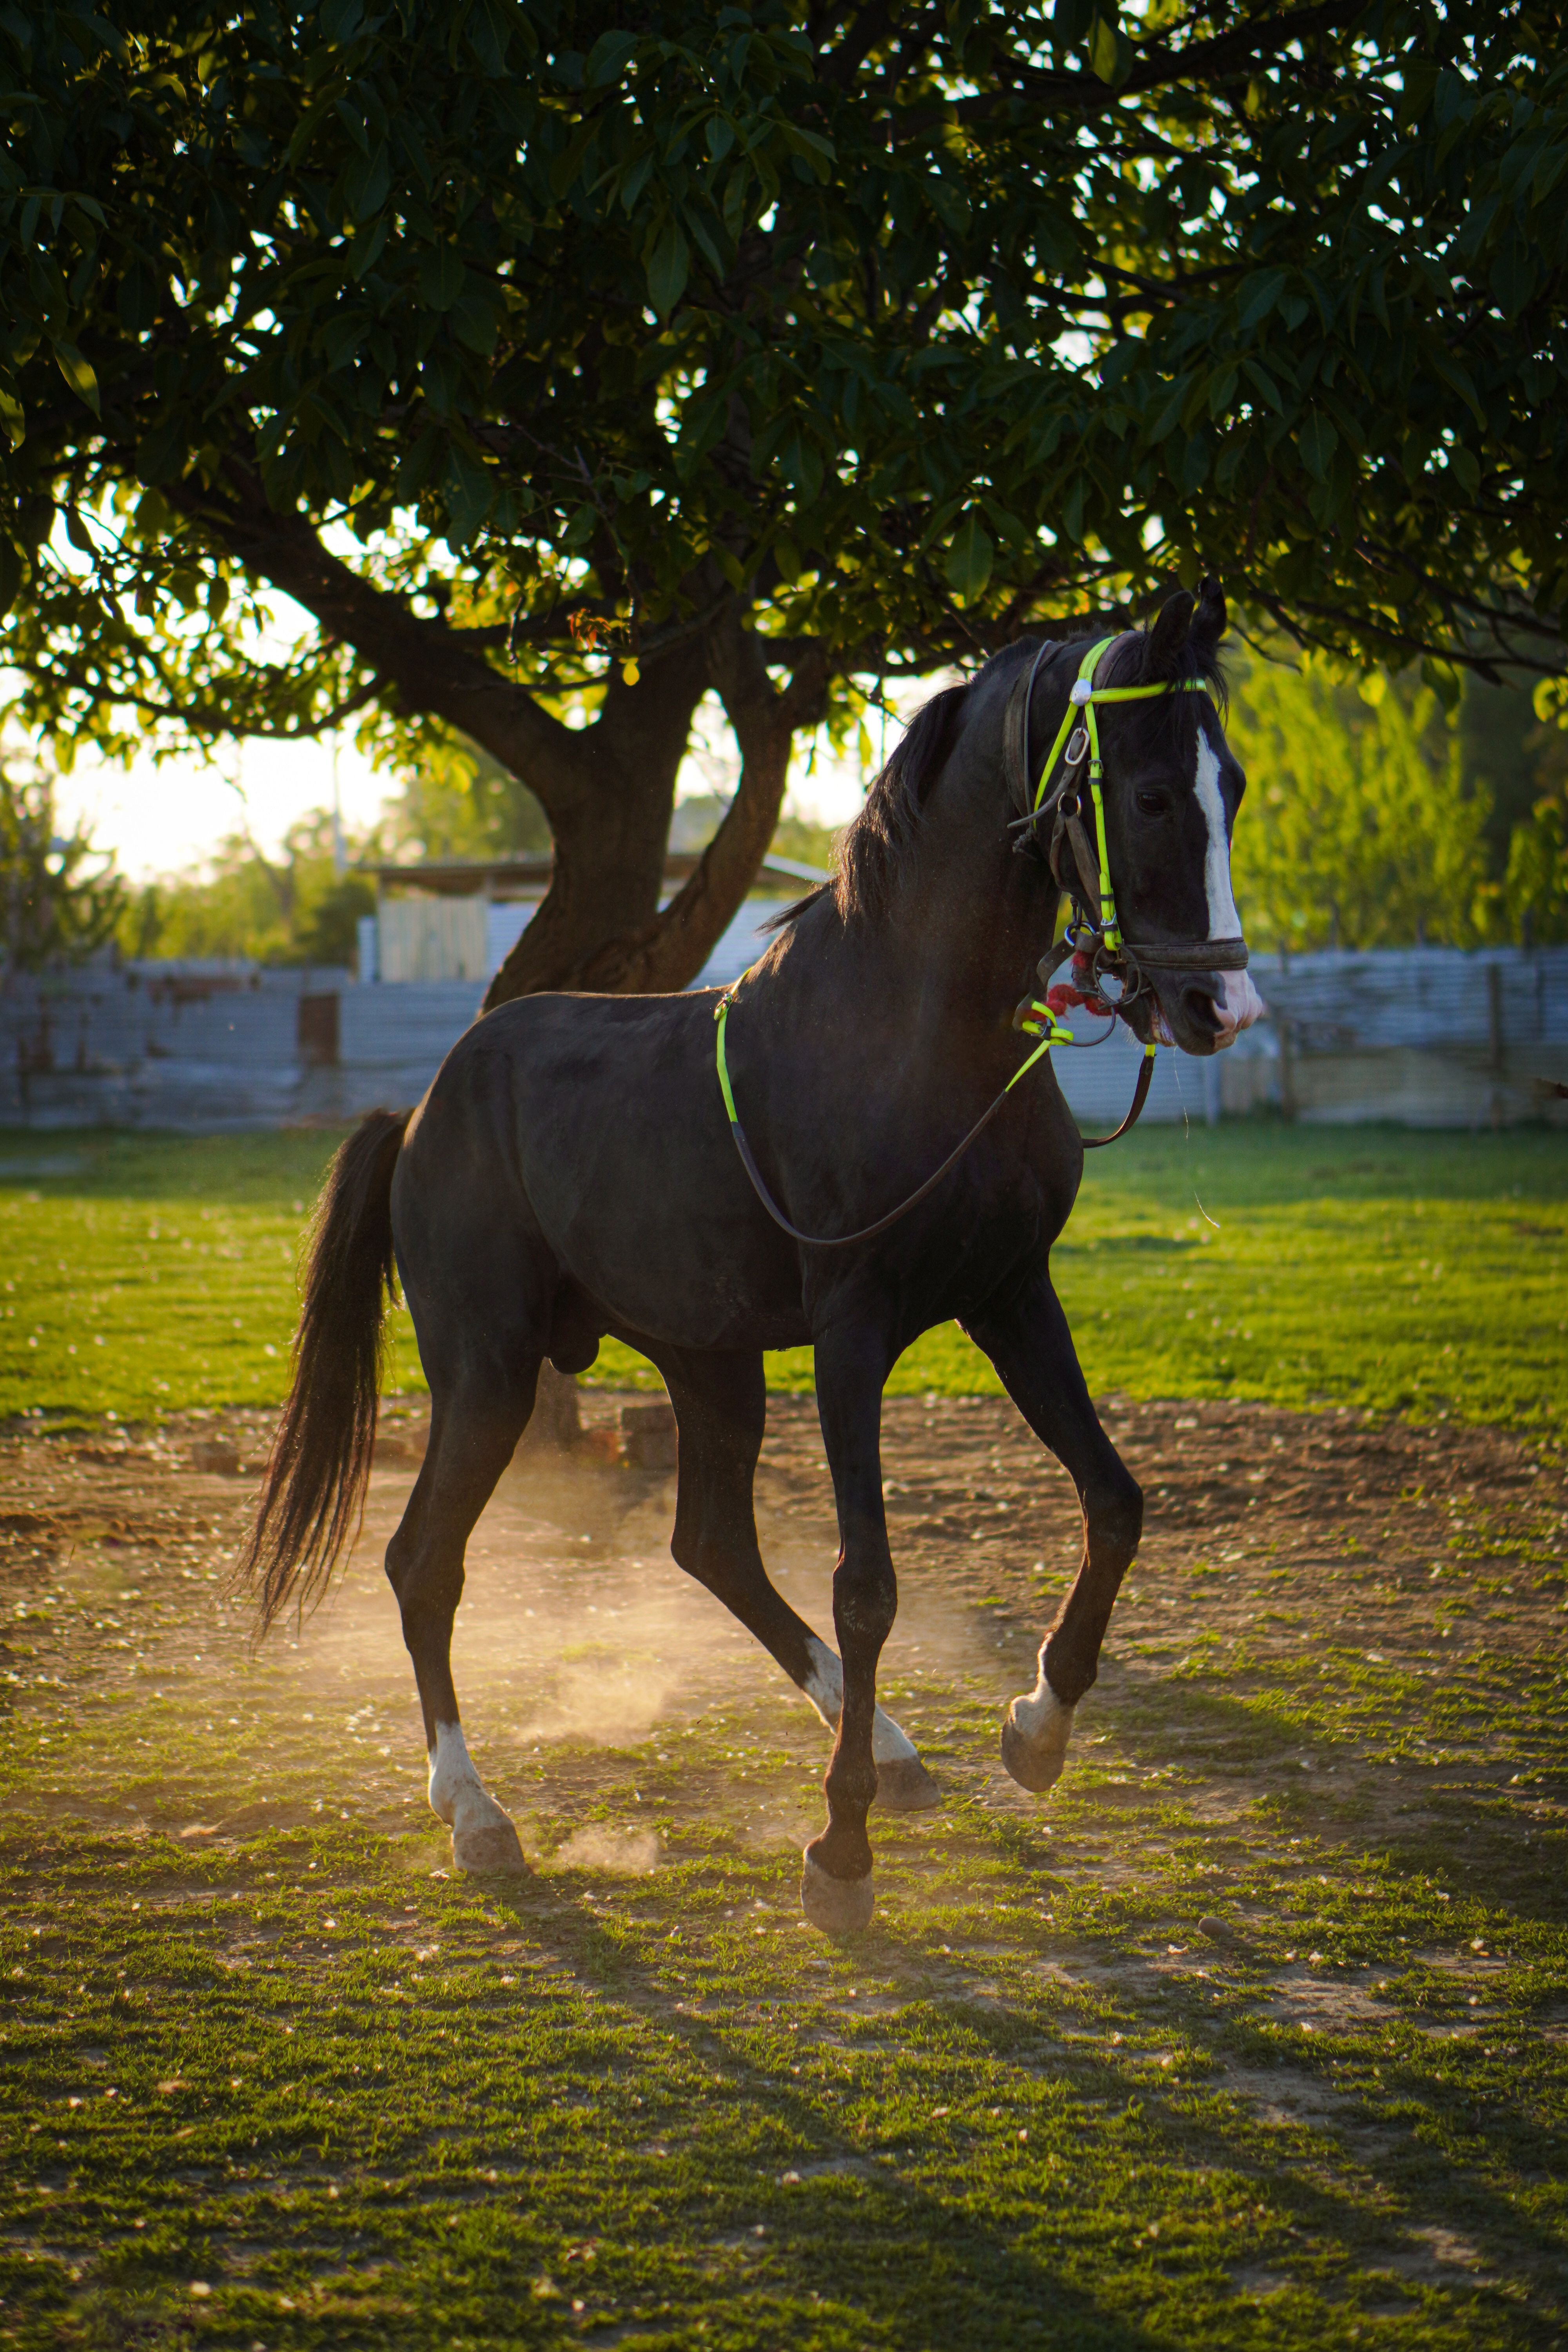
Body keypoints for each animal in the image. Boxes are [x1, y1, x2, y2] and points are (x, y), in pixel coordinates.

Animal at [238, 577, 1264, 1936]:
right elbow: (868, 1581)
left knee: (710, 1543)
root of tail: (423, 1111)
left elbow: (1115, 1501)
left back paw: (888, 1748)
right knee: (426, 1563)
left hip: (706, 1364)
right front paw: (839, 1854)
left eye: (1231, 784)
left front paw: (1034, 1728)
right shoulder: (853, 1330)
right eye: (1147, 794)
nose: (1218, 1009)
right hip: (488, 1373)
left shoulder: (1008, 1296)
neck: (915, 1030)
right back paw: (477, 1812)